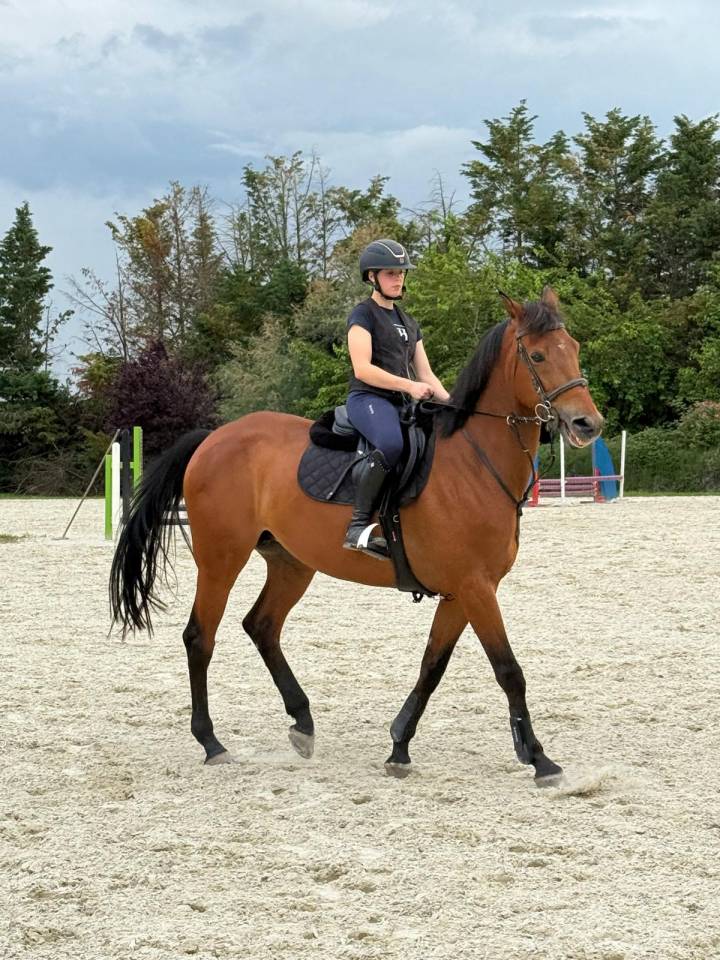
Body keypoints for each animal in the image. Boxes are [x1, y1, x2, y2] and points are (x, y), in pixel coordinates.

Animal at [110, 288, 603, 785]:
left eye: (574, 348)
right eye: (537, 355)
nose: (588, 424)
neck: (473, 464)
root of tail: (214, 438)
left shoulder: (461, 592)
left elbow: (432, 665)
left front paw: (400, 746)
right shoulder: (475, 586)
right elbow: (508, 669)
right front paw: (540, 759)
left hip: (291, 563)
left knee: (262, 626)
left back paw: (302, 724)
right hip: (220, 560)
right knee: (200, 637)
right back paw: (211, 742)